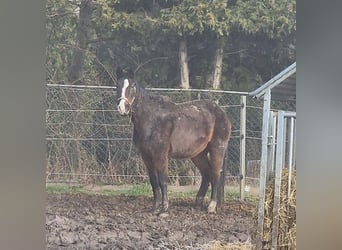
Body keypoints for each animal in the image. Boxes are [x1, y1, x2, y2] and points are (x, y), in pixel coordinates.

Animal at [116, 67, 231, 214]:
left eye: (132, 86)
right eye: (118, 85)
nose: (122, 108)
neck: (150, 119)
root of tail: (221, 112)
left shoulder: (160, 155)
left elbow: (162, 181)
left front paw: (164, 209)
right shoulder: (146, 156)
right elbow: (153, 182)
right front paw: (155, 208)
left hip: (217, 148)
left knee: (215, 174)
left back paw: (211, 206)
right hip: (198, 154)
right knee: (206, 174)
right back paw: (198, 202)